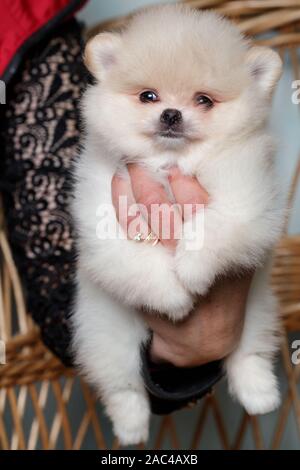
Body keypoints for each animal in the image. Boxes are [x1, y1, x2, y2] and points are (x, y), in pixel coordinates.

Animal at [70, 4, 284, 444]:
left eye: (204, 100)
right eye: (147, 96)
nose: (171, 113)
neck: (170, 165)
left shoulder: (247, 194)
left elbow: (214, 225)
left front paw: (191, 270)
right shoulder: (103, 212)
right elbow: (135, 255)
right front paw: (173, 297)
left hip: (255, 312)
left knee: (247, 356)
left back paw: (261, 395)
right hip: (108, 339)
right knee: (124, 389)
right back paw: (131, 429)